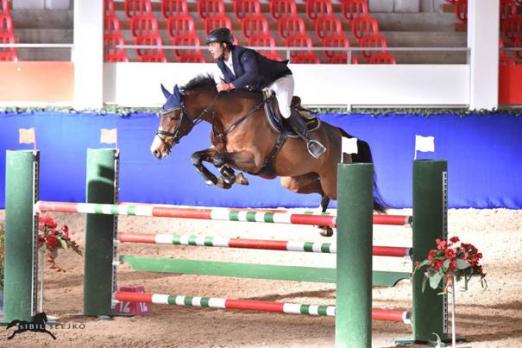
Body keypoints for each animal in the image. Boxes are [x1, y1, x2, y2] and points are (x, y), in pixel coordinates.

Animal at [150, 74, 382, 235]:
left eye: (173, 117)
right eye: (160, 115)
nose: (156, 151)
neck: (234, 116)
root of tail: (341, 135)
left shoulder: (253, 160)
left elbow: (218, 159)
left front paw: (231, 176)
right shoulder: (221, 150)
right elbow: (198, 157)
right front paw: (221, 179)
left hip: (332, 178)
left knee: (337, 195)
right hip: (294, 181)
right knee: (322, 193)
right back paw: (322, 225)